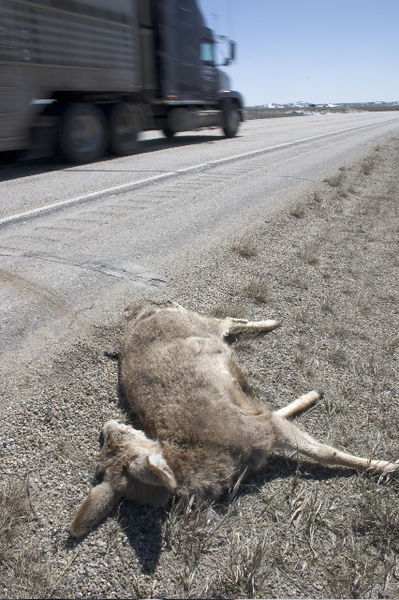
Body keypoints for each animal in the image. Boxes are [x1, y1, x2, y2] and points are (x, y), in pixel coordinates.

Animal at [70, 304, 398, 540]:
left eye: (124, 434)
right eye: (104, 453)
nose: (106, 425)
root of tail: (143, 315)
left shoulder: (263, 427)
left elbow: (326, 452)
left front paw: (387, 466)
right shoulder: (262, 425)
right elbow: (285, 418)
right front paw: (311, 397)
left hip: (204, 325)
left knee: (225, 318)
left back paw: (271, 322)